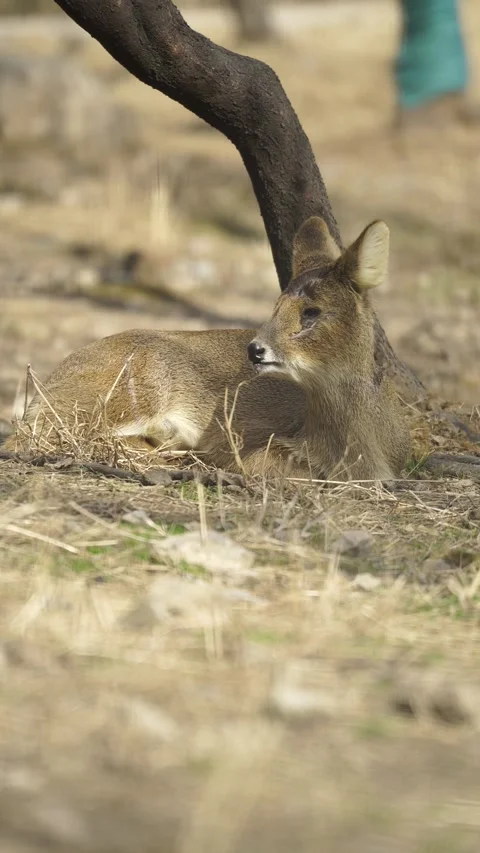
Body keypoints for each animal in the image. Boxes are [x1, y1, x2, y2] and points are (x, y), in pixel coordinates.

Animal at [5, 215, 410, 481]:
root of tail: (48, 385)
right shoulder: (256, 446)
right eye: (276, 306)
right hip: (137, 387)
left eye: (312, 312)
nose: (255, 349)